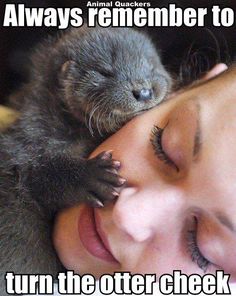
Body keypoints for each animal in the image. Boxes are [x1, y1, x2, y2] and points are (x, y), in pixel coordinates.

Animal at [0, 26, 171, 294]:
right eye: (105, 72)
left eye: (151, 66)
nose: (143, 91)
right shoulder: (29, 142)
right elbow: (40, 175)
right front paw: (92, 177)